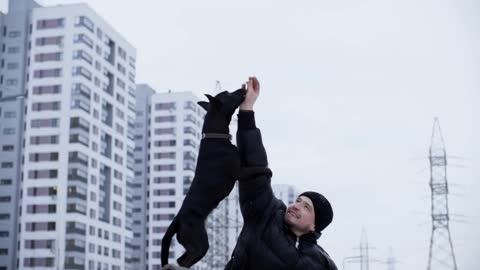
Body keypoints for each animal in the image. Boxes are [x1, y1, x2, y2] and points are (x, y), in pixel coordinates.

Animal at [161, 89, 246, 268]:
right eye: (229, 94)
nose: (242, 89)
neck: (215, 136)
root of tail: (177, 220)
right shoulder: (239, 172)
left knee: (181, 260)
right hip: (200, 243)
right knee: (186, 260)